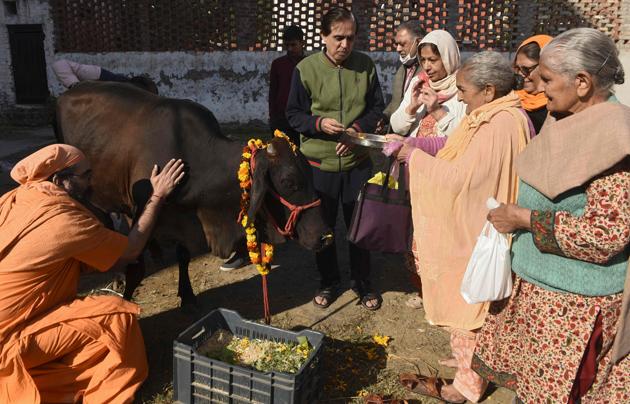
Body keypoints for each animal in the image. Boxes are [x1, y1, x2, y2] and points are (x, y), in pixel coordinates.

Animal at [56, 83, 334, 310]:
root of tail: (68, 91)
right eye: (288, 182)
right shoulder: (144, 207)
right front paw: (125, 299)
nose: (325, 237)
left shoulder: (184, 219)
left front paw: (187, 295)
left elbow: (183, 256)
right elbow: (136, 267)